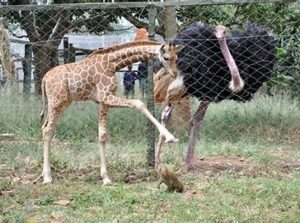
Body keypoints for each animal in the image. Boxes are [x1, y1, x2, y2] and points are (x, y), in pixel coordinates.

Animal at [38, 39, 184, 185]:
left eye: (176, 57)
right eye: (166, 57)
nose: (174, 73)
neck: (112, 64)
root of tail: (44, 78)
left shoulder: (104, 101)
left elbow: (102, 135)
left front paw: (105, 177)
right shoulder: (105, 96)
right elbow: (139, 103)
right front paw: (170, 137)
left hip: (61, 104)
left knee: (46, 128)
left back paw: (46, 174)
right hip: (56, 102)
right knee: (48, 129)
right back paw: (47, 178)